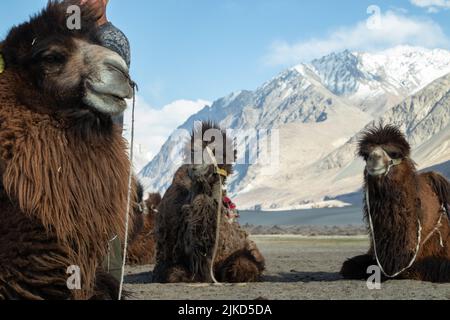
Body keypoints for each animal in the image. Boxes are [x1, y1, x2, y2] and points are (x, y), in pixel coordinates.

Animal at [153, 121, 266, 284]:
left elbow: (244, 267)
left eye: (215, 150)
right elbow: (172, 274)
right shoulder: (168, 259)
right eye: (193, 150)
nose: (195, 168)